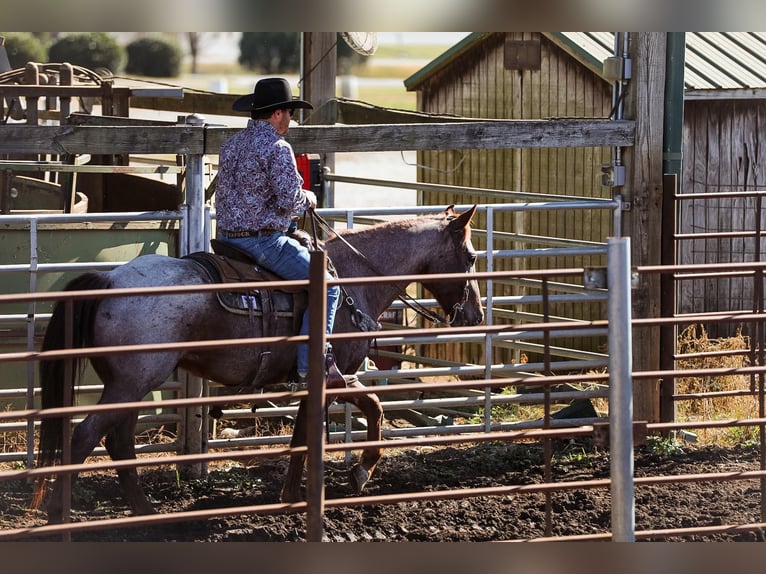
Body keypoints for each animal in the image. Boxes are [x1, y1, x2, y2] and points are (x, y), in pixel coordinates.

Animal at [34, 205, 486, 524]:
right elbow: (349, 416)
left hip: (131, 384)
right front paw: (342, 480)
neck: (352, 278)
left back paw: (144, 512)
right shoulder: (332, 375)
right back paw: (60, 516)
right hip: (131, 383)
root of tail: (109, 281)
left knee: (119, 441)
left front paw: (315, 488)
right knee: (85, 438)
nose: (474, 315)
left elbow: (345, 418)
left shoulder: (329, 378)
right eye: (469, 256)